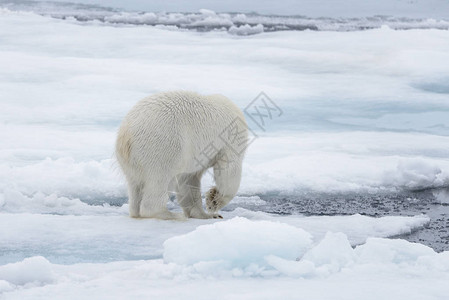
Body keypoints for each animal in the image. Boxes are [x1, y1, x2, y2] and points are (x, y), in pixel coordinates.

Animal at [114, 90, 248, 219]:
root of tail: (126, 134)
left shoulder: (192, 155)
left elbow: (188, 179)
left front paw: (205, 214)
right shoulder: (230, 140)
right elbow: (229, 170)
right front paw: (213, 202)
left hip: (131, 161)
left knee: (135, 184)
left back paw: (136, 211)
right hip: (163, 146)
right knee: (161, 179)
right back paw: (169, 214)